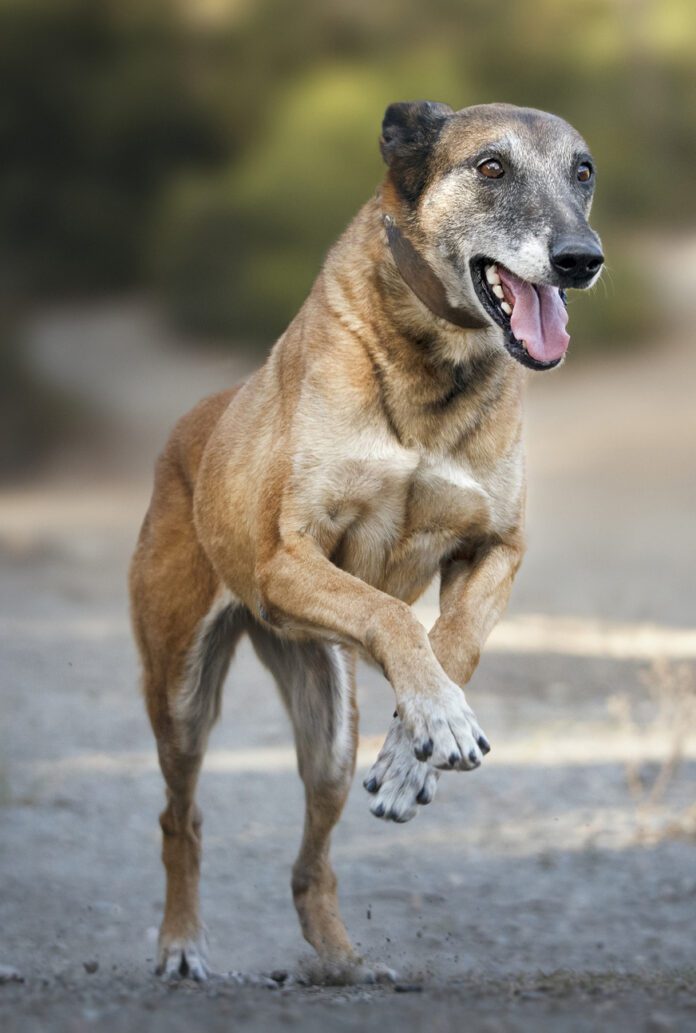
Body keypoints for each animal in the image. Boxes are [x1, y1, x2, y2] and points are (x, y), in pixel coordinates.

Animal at [130, 100, 603, 979]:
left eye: (582, 171)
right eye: (491, 167)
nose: (581, 259)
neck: (435, 364)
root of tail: (189, 426)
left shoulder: (496, 548)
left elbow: (452, 642)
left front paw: (412, 755)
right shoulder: (290, 560)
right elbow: (389, 616)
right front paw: (438, 718)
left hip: (327, 734)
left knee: (310, 861)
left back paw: (342, 958)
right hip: (179, 694)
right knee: (181, 816)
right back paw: (180, 942)